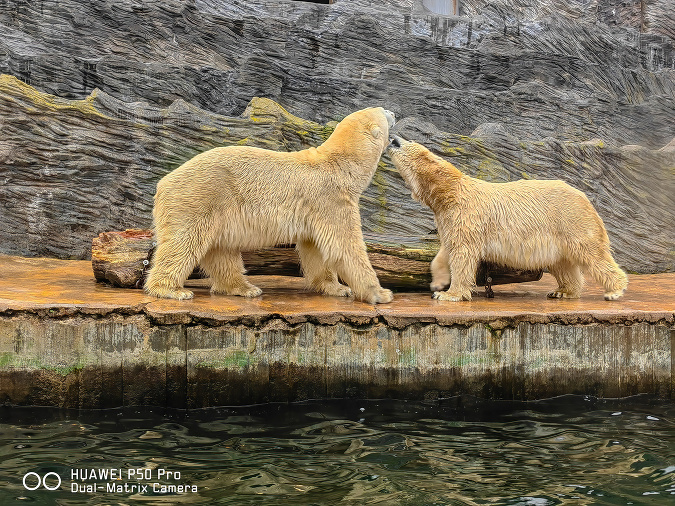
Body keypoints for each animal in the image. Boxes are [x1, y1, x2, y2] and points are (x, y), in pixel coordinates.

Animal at [144, 107, 396, 304]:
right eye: (383, 111)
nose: (394, 113)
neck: (339, 165)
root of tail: (163, 184)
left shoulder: (315, 211)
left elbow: (314, 248)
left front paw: (337, 288)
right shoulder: (330, 198)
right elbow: (346, 246)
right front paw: (380, 293)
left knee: (221, 250)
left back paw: (244, 288)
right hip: (199, 198)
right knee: (184, 242)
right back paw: (171, 290)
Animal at [388, 135, 632, 300]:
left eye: (406, 142)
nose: (393, 139)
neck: (449, 193)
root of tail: (584, 198)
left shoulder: (467, 216)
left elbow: (463, 255)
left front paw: (449, 294)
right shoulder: (448, 218)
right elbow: (446, 249)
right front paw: (438, 283)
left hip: (571, 220)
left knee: (592, 254)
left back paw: (615, 290)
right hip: (557, 236)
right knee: (561, 263)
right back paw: (562, 291)